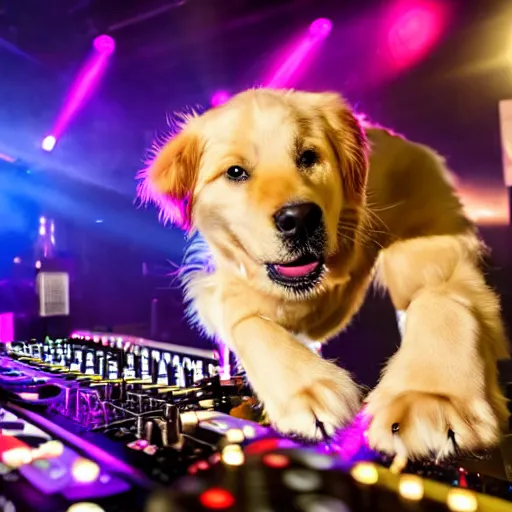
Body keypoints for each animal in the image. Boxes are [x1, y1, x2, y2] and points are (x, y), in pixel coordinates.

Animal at [138, 88, 510, 460]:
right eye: (235, 171)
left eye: (308, 156)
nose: (300, 218)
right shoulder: (221, 282)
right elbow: (249, 320)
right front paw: (308, 386)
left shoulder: (433, 251)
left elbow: (439, 301)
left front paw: (429, 397)